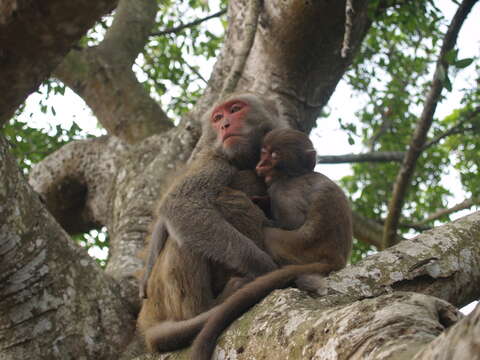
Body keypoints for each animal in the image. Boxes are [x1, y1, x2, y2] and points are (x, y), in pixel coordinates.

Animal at [135, 92, 284, 352]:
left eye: (235, 109)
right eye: (217, 118)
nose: (224, 125)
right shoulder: (215, 159)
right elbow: (180, 204)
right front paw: (266, 267)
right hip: (160, 297)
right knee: (183, 237)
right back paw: (206, 309)